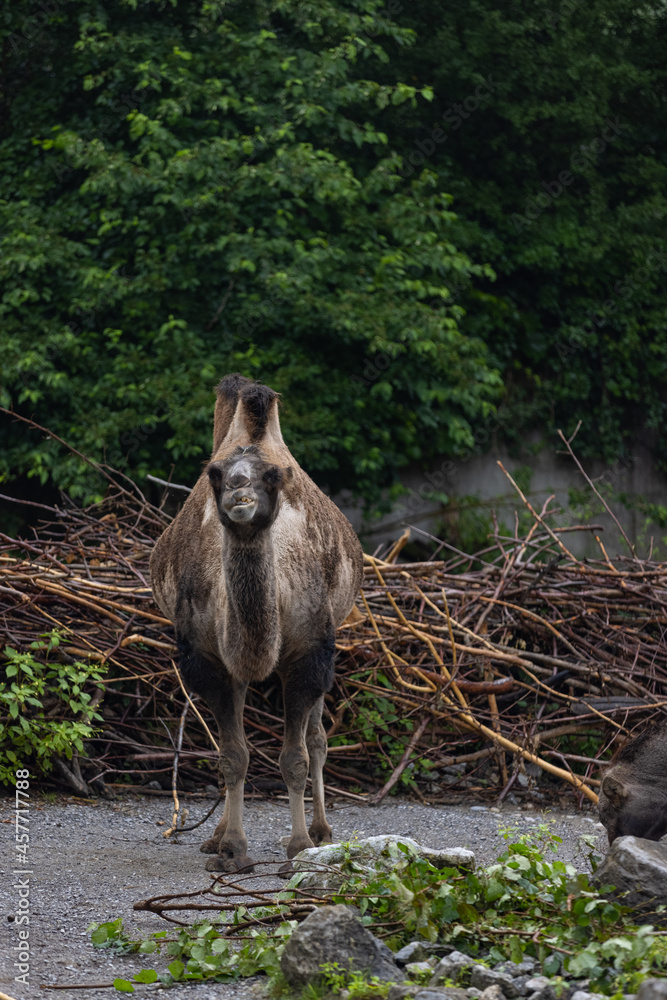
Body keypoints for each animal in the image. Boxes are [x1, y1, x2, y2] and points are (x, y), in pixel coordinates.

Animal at [150, 374, 363, 871]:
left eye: (272, 476)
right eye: (215, 474)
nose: (238, 490)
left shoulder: (309, 652)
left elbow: (295, 757)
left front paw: (300, 846)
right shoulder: (207, 658)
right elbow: (233, 755)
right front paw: (232, 848)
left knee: (319, 738)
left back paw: (323, 832)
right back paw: (216, 836)